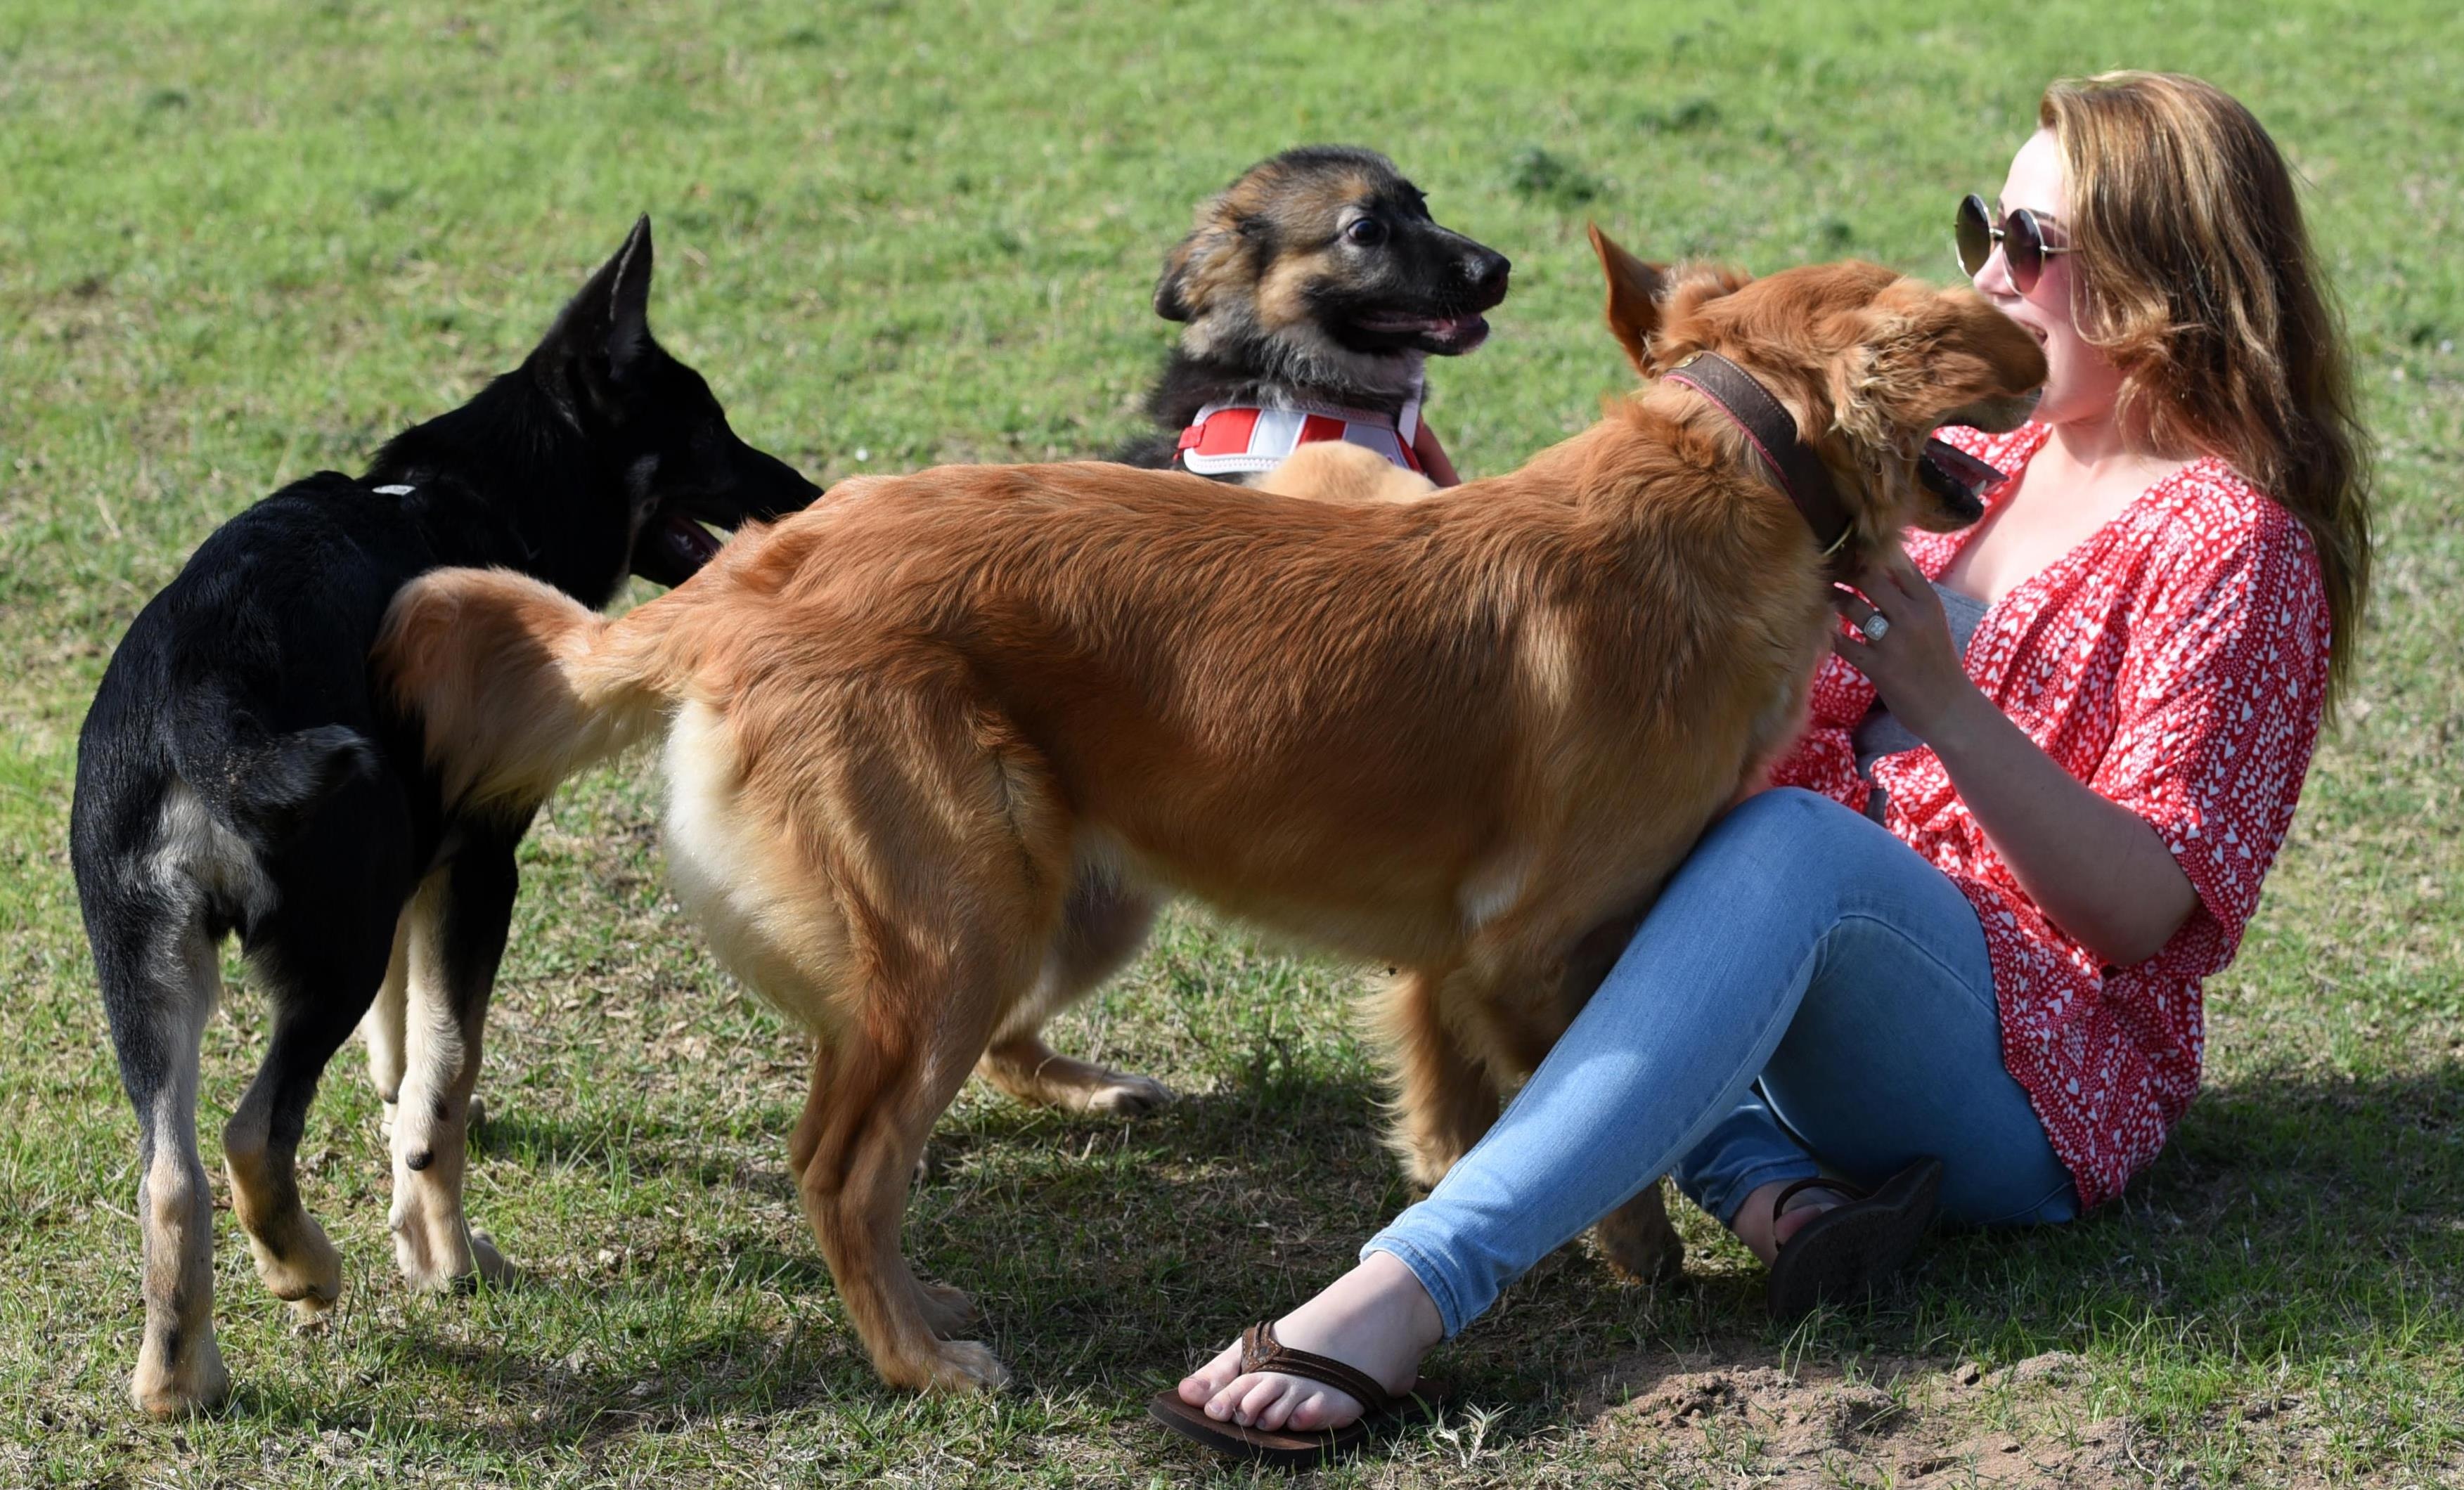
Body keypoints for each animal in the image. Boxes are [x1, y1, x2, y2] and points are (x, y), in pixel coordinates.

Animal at [374, 226, 2050, 1389]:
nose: (2037, 365)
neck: (1730, 478)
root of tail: (743, 579)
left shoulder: (1454, 954)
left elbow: (1455, 1109)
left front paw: (1451, 1187)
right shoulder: (1539, 945)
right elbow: (1605, 1136)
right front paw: (1640, 1264)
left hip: (1059, 905)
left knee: (901, 1131)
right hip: (965, 922)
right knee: (842, 1170)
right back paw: (920, 1359)